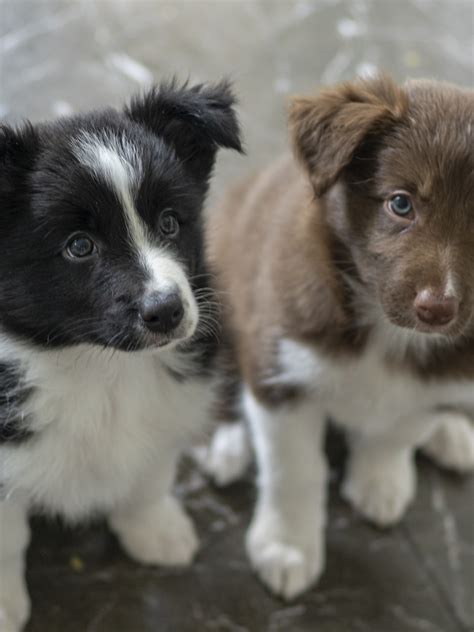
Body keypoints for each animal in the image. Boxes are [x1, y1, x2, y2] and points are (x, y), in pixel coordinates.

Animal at [0, 80, 241, 632]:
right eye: (78, 246)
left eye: (171, 223)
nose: (168, 311)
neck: (101, 368)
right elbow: (7, 539)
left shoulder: (173, 406)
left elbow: (149, 475)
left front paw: (155, 531)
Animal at [202, 74, 474, 596]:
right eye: (400, 203)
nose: (437, 309)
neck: (386, 333)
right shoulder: (281, 372)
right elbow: (294, 470)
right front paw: (287, 547)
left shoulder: (435, 382)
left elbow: (399, 430)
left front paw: (379, 480)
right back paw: (222, 443)